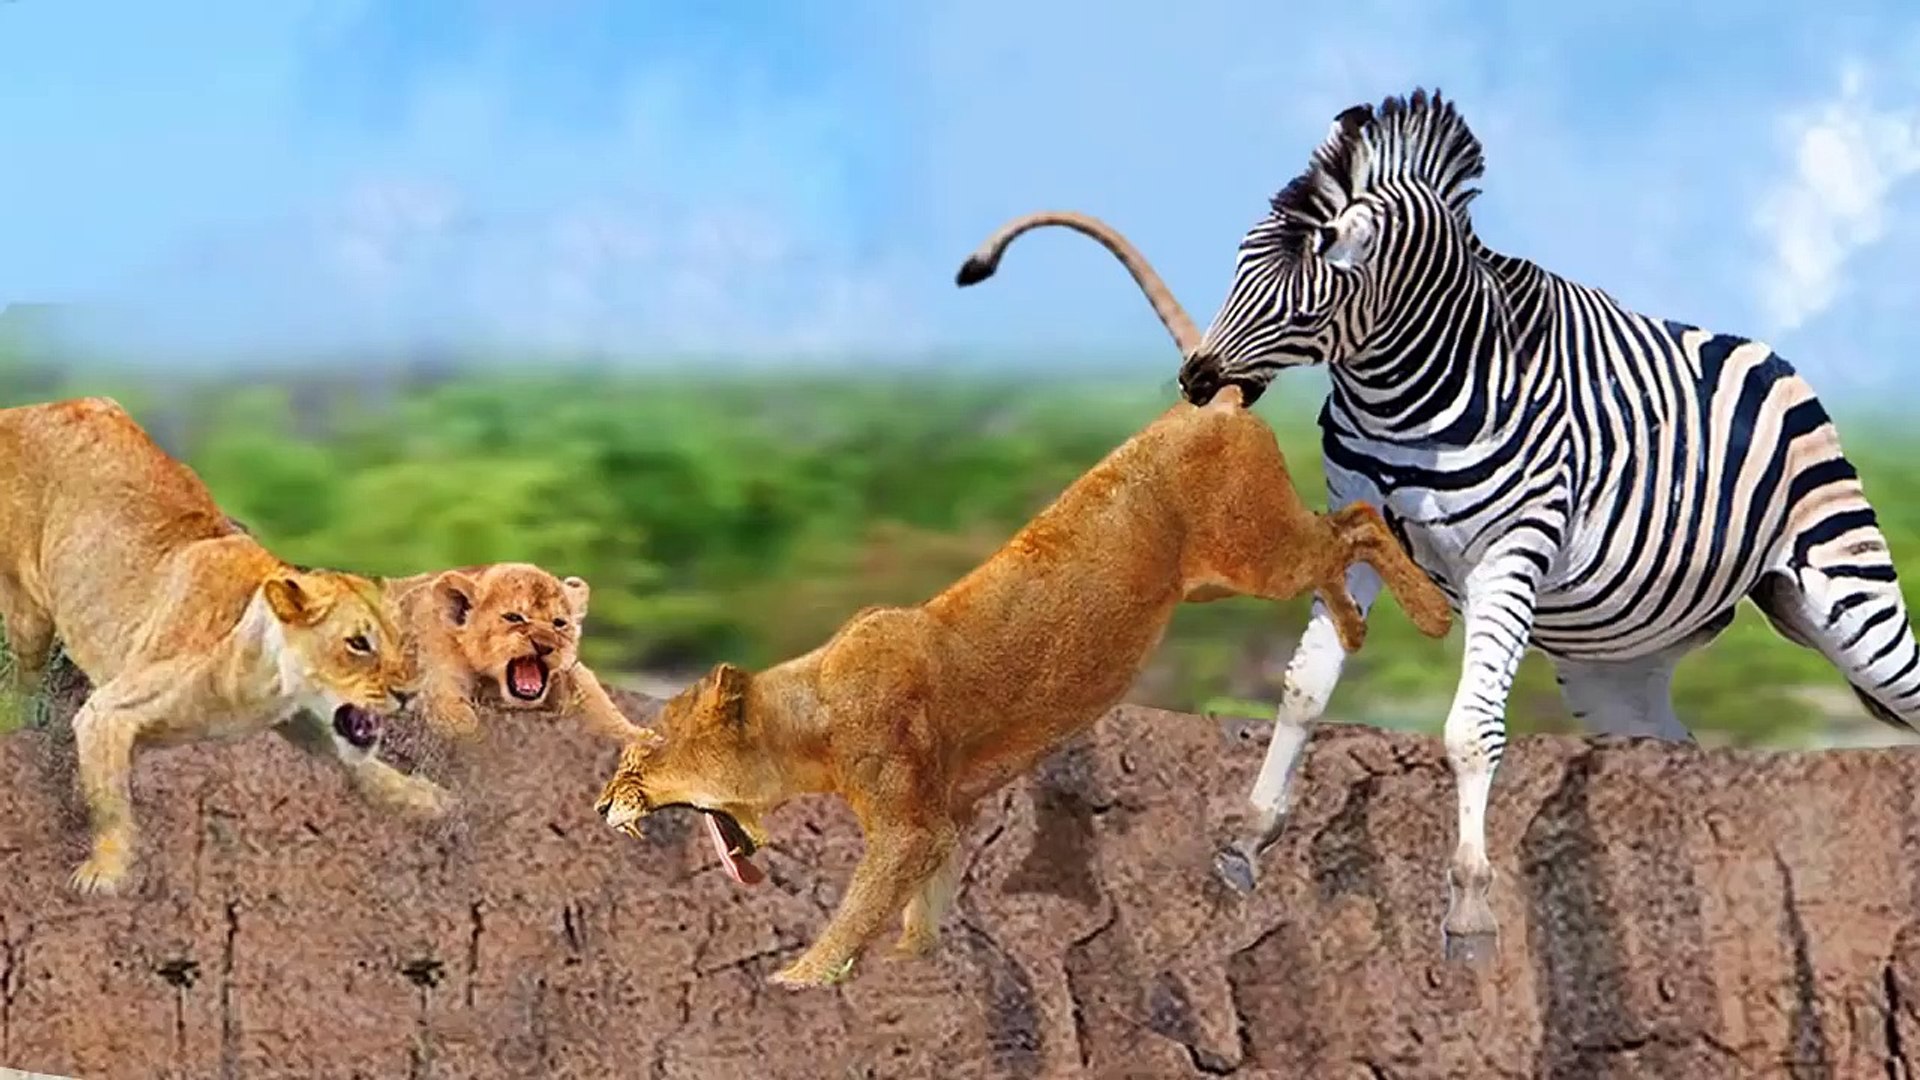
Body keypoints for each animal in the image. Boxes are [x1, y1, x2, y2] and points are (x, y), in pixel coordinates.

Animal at [0, 397, 443, 895]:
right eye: (358, 643)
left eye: (397, 639)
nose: (409, 694)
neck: (266, 677)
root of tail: (24, 408)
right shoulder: (106, 712)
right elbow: (110, 805)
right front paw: (105, 872)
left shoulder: (299, 719)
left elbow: (361, 765)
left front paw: (421, 797)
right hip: (28, 612)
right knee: (21, 684)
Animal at [381, 562, 648, 745]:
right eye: (513, 617)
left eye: (559, 623)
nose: (544, 645)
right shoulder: (438, 680)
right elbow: (461, 723)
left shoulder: (572, 673)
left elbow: (600, 703)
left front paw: (640, 738)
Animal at [594, 382, 1453, 988]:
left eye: (643, 757)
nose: (602, 806)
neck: (809, 716)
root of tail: (1211, 404)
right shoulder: (948, 814)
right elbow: (927, 898)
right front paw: (916, 959)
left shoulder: (908, 824)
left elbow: (858, 909)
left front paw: (799, 979)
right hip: (1226, 572)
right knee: (1344, 533)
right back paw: (1354, 627)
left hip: (1257, 553)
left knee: (1361, 520)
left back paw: (1432, 615)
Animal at [955, 88, 1920, 963]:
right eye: (1236, 269)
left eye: (1306, 306)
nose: (1198, 381)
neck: (1404, 393)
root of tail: (1771, 355)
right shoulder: (1362, 537)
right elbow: (1304, 689)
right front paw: (1247, 838)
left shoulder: (1510, 555)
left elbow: (1469, 729)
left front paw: (1470, 913)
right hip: (1617, 664)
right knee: (1670, 746)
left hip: (1843, 592)